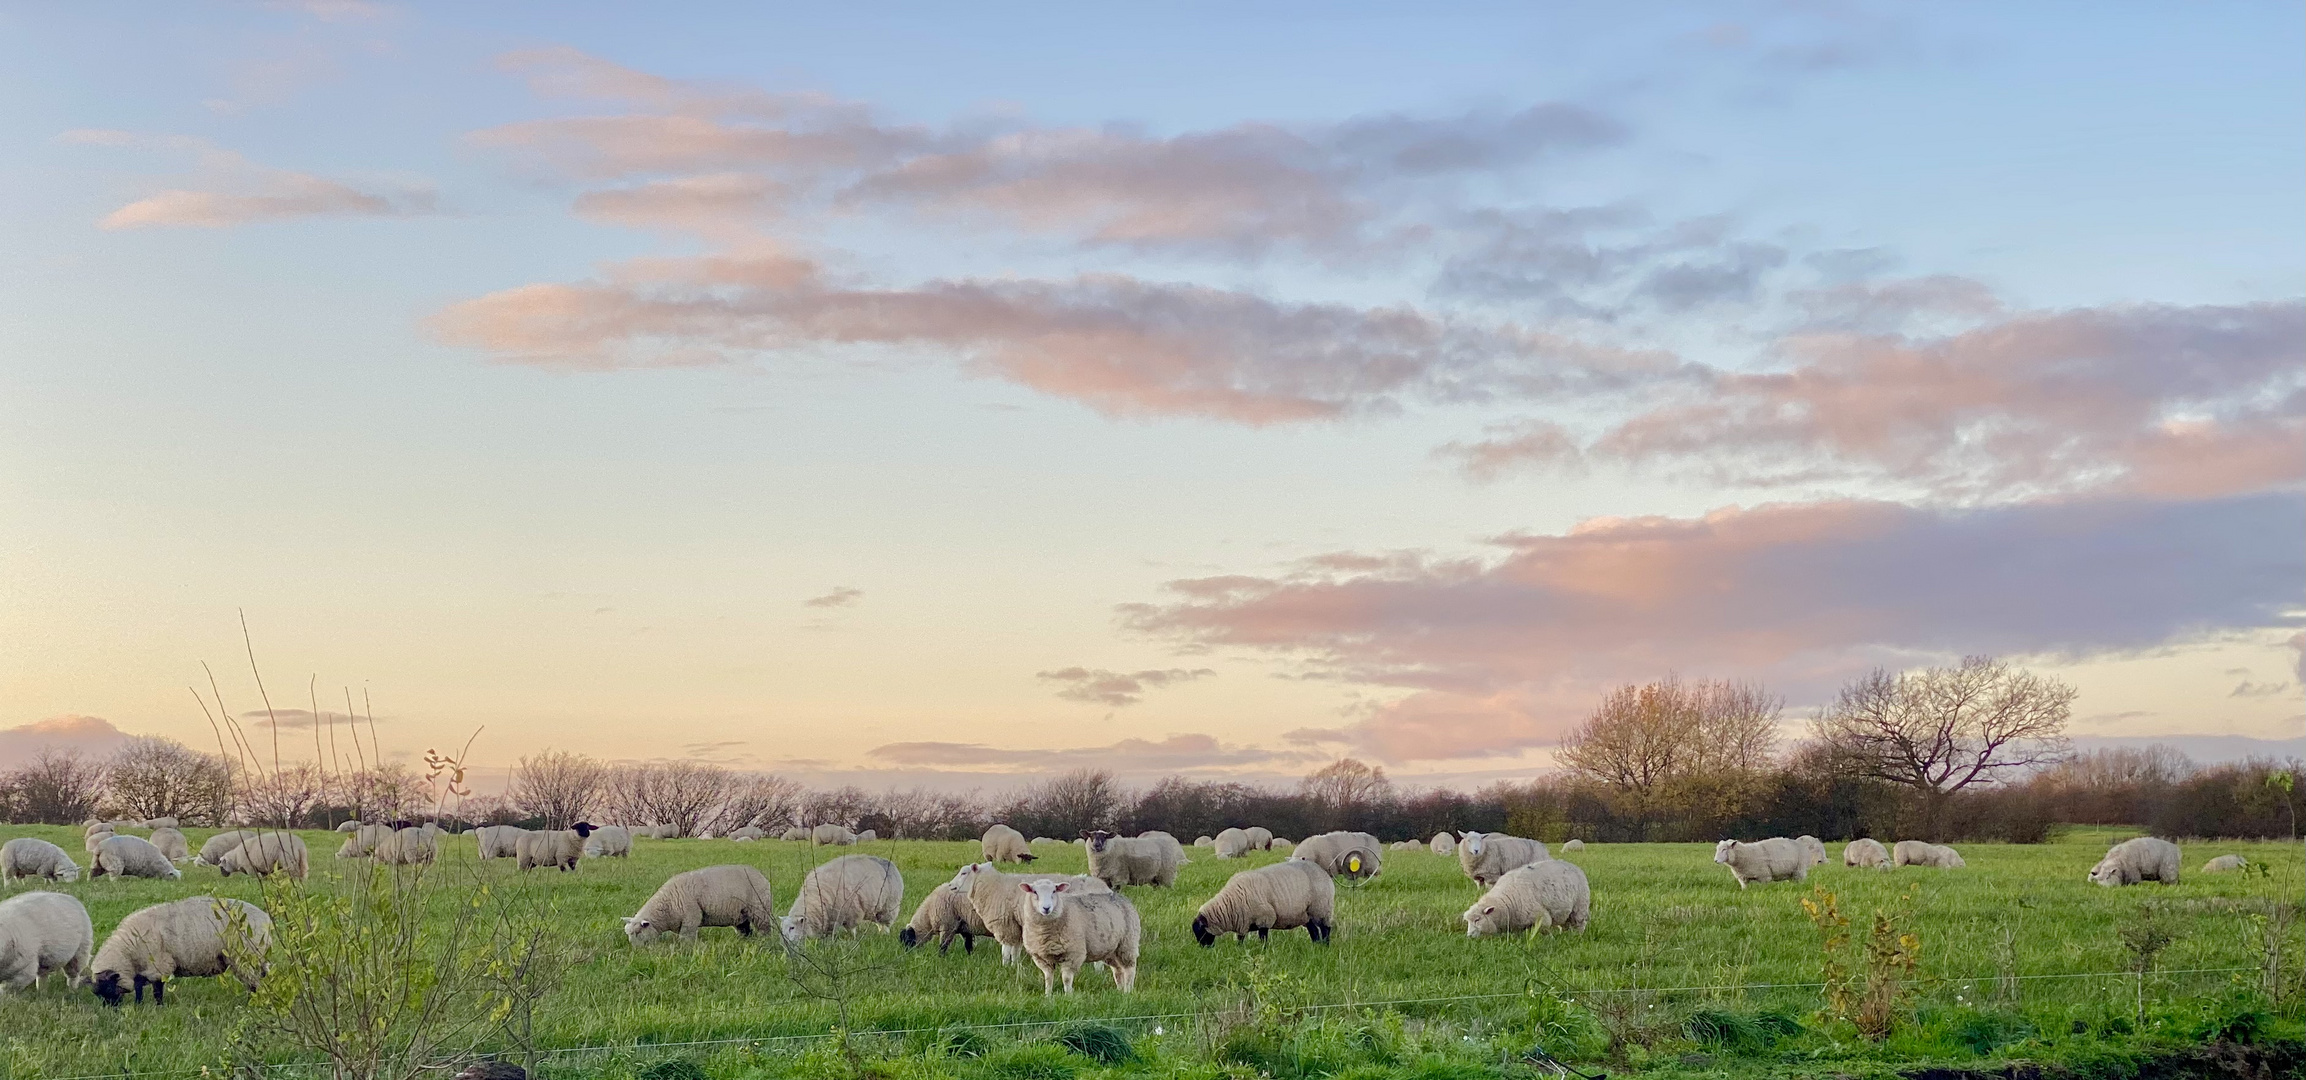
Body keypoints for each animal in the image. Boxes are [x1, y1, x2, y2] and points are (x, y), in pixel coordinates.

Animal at [88, 895, 270, 1006]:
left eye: (108, 988)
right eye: (98, 994)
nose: (110, 1010)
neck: (128, 951)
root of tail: (265, 918)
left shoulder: (159, 965)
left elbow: (157, 990)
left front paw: (159, 1007)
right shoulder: (141, 969)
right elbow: (139, 988)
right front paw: (138, 1005)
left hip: (245, 956)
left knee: (253, 984)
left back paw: (250, 1003)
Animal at [627, 858, 779, 946]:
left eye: (638, 932)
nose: (636, 950)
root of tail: (762, 876)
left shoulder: (690, 918)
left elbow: (686, 937)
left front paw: (687, 949)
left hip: (759, 909)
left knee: (765, 928)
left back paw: (765, 941)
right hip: (741, 913)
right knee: (745, 929)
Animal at [940, 863, 1111, 964]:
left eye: (964, 873)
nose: (950, 886)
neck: (994, 887)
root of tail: (1106, 889)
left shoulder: (1005, 924)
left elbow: (1006, 950)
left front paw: (1004, 966)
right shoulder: (1016, 926)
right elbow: (1015, 949)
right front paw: (1014, 966)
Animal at [1189, 858, 1337, 946]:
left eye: (1201, 931)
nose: (1204, 949)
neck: (1230, 904)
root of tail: (1322, 871)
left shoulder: (1265, 918)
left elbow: (1263, 937)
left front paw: (1263, 950)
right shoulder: (1243, 922)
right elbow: (1240, 939)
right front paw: (1239, 950)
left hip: (1321, 908)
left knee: (1325, 928)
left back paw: (1325, 946)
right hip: (1306, 915)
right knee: (1314, 931)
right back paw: (1315, 946)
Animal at [1466, 858, 1595, 936]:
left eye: (1477, 919)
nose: (1469, 936)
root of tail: (1574, 866)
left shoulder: (1541, 918)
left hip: (1580, 906)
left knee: (1579, 923)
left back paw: (1576, 936)